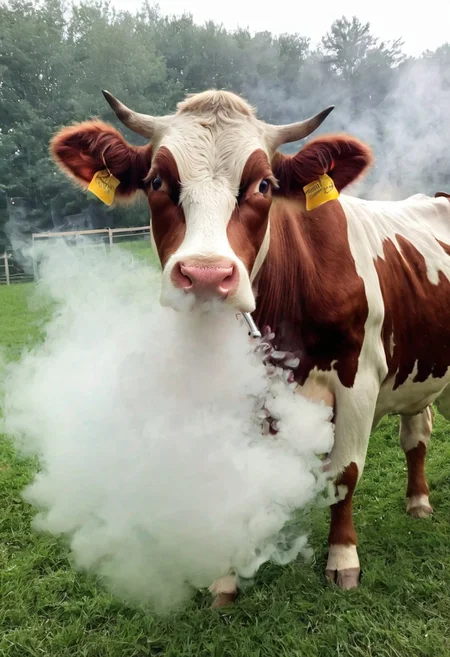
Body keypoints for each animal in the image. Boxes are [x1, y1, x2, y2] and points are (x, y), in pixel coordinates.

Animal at [50, 89, 450, 608]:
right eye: (157, 180)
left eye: (263, 185)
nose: (206, 275)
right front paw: (224, 578)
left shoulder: (358, 380)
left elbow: (344, 474)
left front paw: (343, 560)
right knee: (416, 431)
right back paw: (418, 501)